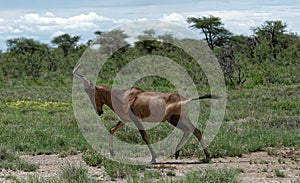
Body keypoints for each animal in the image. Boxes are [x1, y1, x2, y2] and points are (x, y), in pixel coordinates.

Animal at [72, 63, 218, 164]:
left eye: (92, 92)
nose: (99, 112)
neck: (126, 95)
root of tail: (187, 99)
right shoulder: (125, 120)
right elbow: (112, 129)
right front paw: (112, 153)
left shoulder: (136, 119)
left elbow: (145, 136)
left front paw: (153, 159)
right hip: (178, 119)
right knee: (194, 131)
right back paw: (196, 155)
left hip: (175, 119)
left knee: (192, 130)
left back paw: (199, 155)